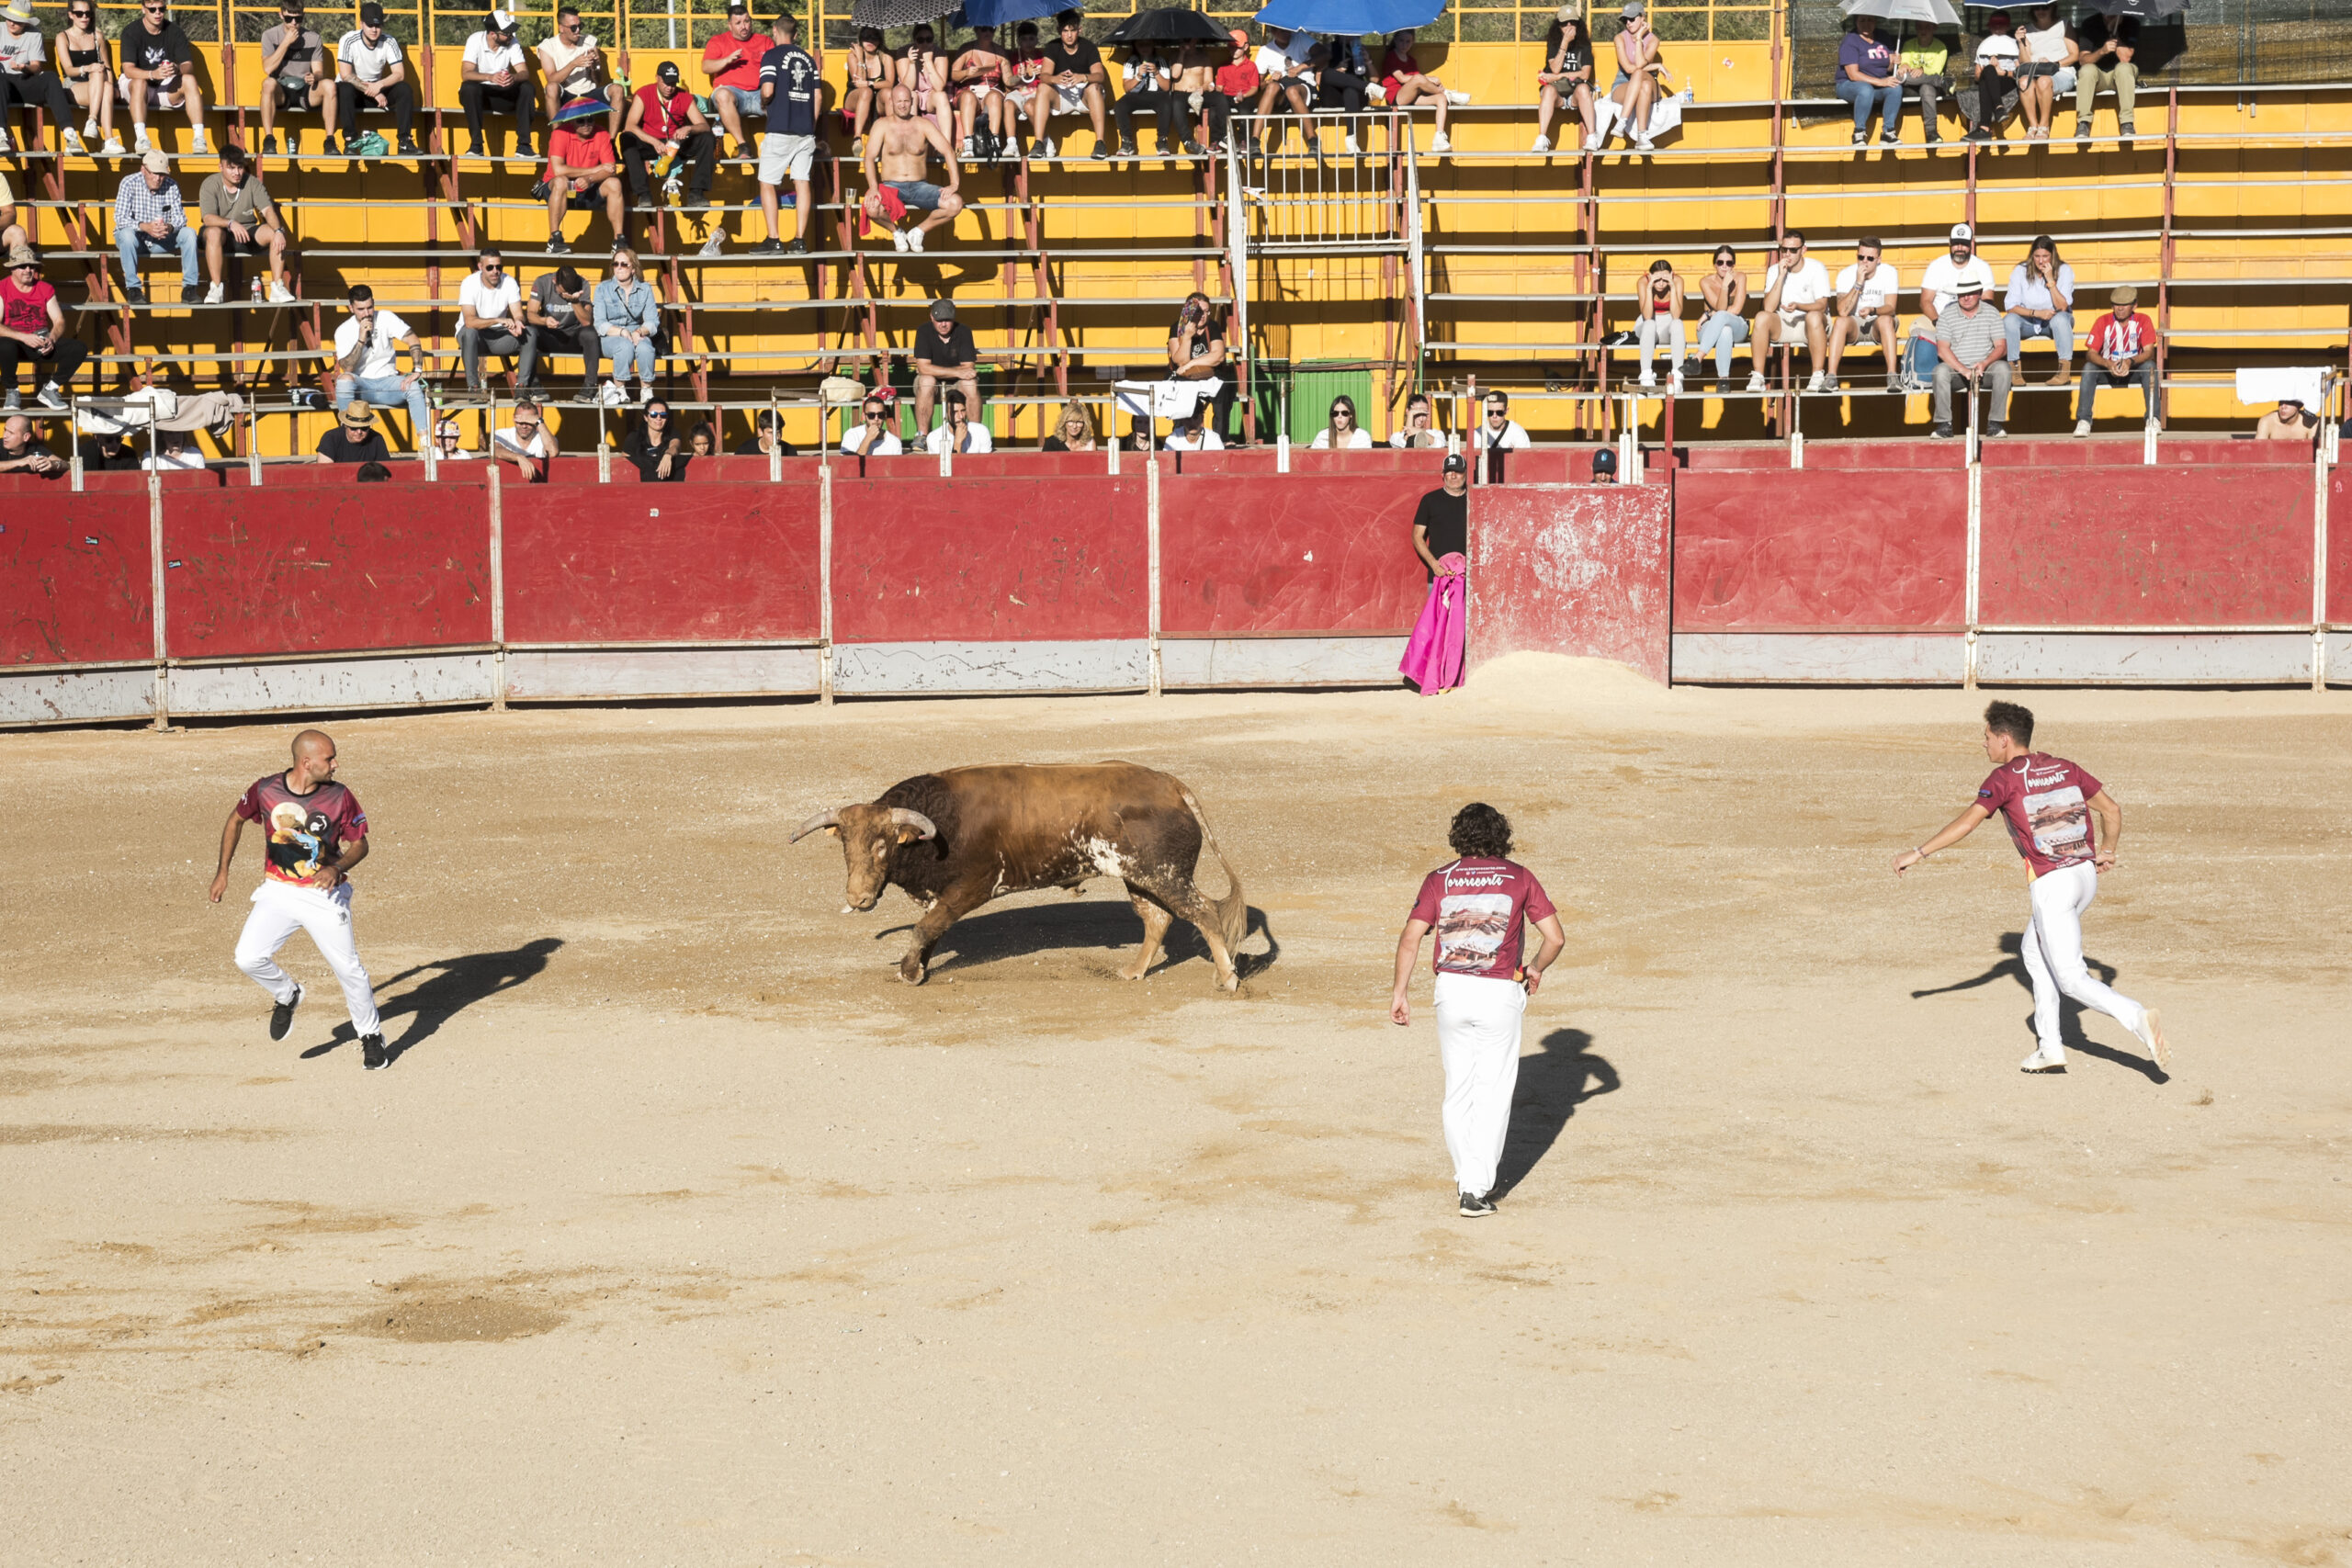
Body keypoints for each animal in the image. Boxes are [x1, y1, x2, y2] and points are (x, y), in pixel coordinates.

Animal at [790, 761, 1250, 991]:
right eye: (845, 847)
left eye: (883, 846)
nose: (860, 898)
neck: (941, 821)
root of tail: (1173, 787)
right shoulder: (942, 894)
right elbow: (931, 931)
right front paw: (917, 967)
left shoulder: (971, 887)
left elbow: (925, 928)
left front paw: (908, 973)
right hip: (1140, 877)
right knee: (1157, 918)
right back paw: (1133, 972)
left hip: (1166, 875)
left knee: (1204, 913)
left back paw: (1227, 978)